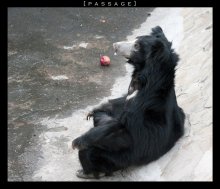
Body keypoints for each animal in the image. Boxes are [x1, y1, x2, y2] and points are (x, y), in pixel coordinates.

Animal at [72, 26, 186, 179]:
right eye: (135, 40)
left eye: (136, 46)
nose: (115, 45)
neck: (145, 79)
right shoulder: (126, 99)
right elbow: (115, 105)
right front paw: (93, 111)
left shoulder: (140, 108)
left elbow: (121, 129)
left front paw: (77, 142)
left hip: (117, 159)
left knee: (88, 153)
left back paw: (86, 172)